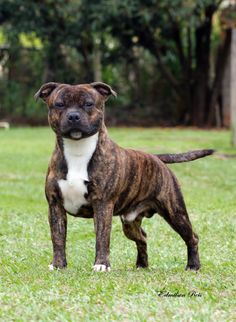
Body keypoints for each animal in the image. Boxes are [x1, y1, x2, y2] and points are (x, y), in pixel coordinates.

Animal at [35, 82, 214, 272]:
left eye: (89, 104)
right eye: (59, 104)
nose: (74, 116)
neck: (78, 150)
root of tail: (156, 158)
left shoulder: (103, 205)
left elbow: (102, 237)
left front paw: (101, 264)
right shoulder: (55, 205)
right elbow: (58, 238)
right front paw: (58, 264)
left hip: (175, 212)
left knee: (192, 237)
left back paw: (193, 265)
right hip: (130, 222)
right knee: (142, 237)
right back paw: (142, 265)